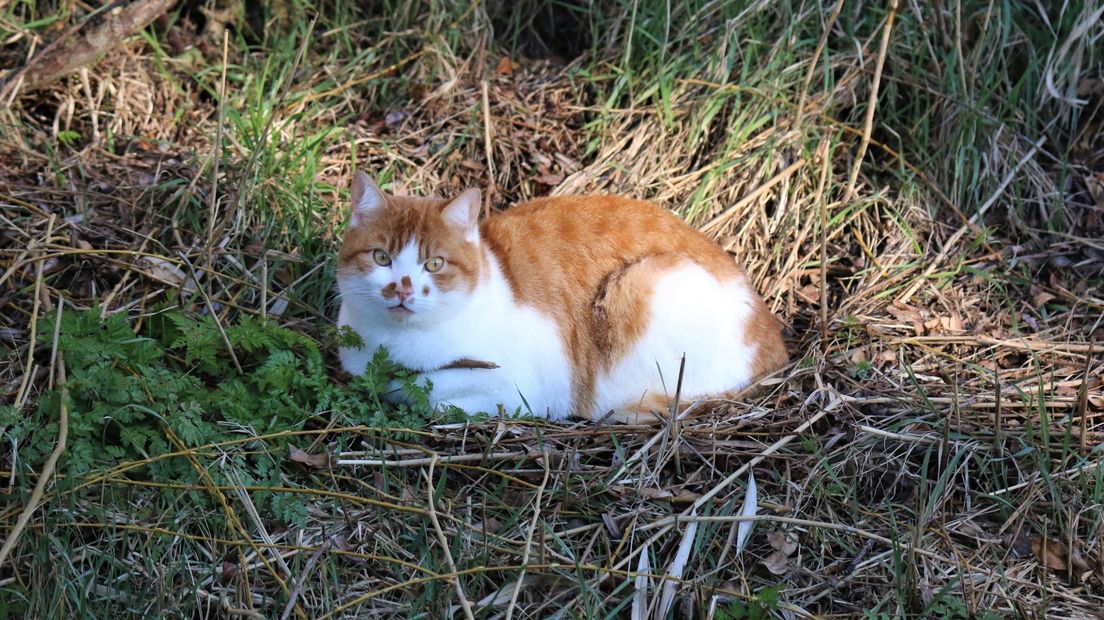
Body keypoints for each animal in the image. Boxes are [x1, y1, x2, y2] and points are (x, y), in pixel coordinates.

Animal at [335, 170, 786, 421]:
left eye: (434, 264)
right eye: (381, 257)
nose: (402, 287)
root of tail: (775, 344)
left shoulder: (524, 390)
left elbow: (436, 401)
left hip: (642, 286)